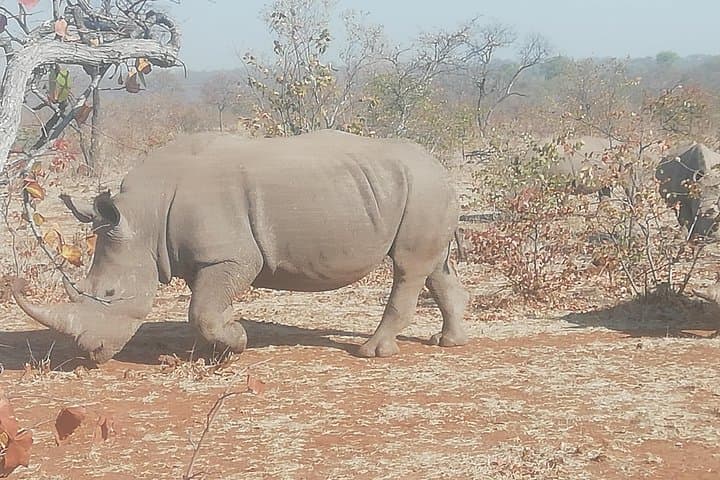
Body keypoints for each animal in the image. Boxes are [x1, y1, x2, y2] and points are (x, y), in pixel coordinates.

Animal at [12, 130, 469, 363]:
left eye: (109, 293)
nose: (91, 353)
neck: (143, 216)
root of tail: (441, 166)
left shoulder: (232, 255)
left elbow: (203, 311)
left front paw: (237, 341)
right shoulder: (201, 256)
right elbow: (203, 308)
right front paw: (206, 351)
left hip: (423, 188)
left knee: (408, 267)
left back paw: (371, 353)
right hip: (419, 189)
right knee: (434, 267)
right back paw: (450, 343)